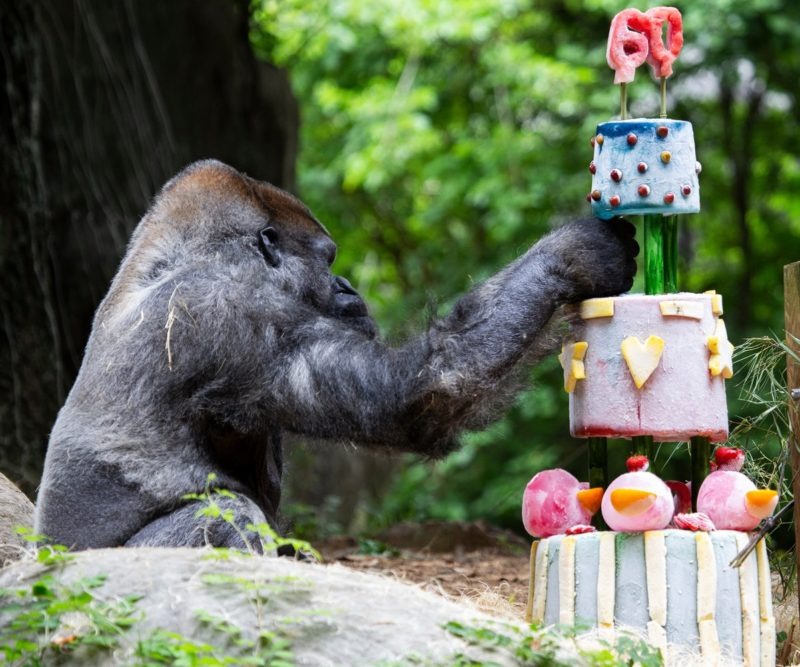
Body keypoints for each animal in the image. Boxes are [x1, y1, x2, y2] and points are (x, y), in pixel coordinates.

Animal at [34, 160, 638, 551]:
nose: (348, 286)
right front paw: (571, 256)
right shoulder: (228, 312)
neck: (178, 259)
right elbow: (418, 392)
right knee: (224, 515)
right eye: (327, 261)